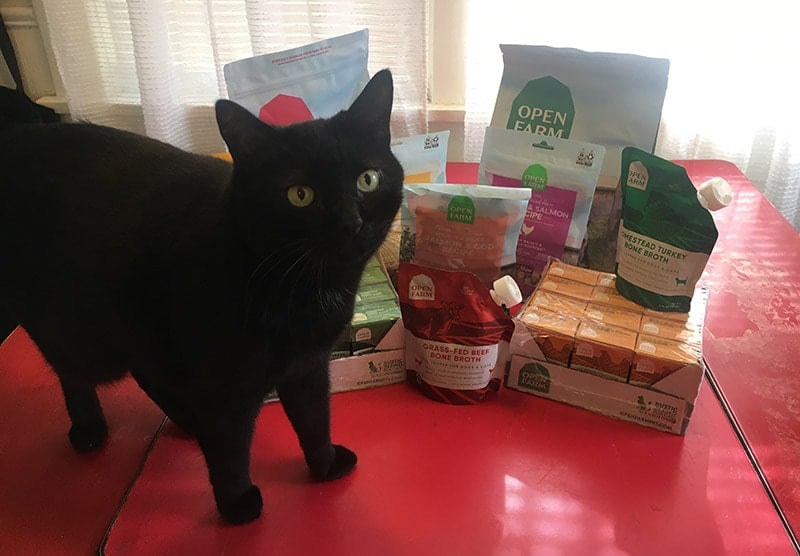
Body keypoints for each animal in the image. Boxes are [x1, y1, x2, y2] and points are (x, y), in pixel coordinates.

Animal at [0, 67, 404, 524]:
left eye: (367, 179)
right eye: (300, 194)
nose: (350, 223)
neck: (300, 285)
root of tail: (14, 136)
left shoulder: (308, 365)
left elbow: (314, 419)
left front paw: (324, 465)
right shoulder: (223, 385)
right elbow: (229, 450)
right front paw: (236, 504)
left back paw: (187, 421)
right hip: (82, 335)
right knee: (73, 372)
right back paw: (90, 428)